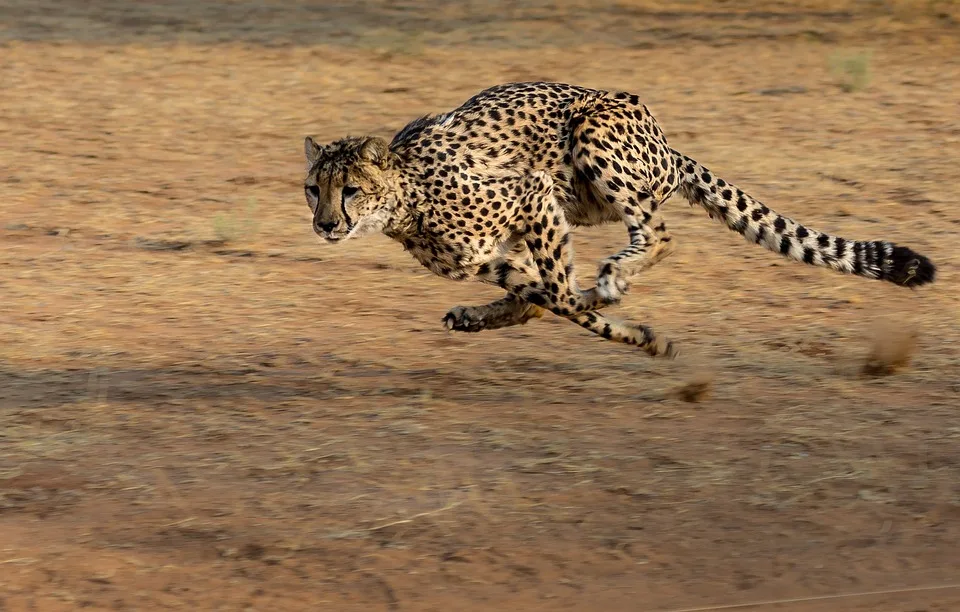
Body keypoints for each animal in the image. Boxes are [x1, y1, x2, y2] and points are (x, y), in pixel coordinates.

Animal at [306, 82, 936, 358]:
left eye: (351, 190)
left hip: (592, 138)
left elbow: (561, 296)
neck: (405, 200)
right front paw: (630, 329)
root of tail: (667, 142)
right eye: (314, 190)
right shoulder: (490, 256)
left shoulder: (533, 194)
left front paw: (635, 330)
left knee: (657, 233)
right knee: (544, 294)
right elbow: (545, 298)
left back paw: (613, 277)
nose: (325, 225)